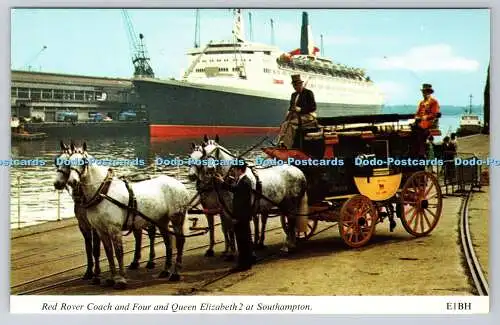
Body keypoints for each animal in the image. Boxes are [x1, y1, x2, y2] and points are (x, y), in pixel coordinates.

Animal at [52, 140, 189, 288]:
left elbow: (118, 253)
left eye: (83, 162)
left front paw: (121, 279)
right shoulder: (100, 230)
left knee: (179, 241)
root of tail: (178, 183)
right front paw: (112, 278)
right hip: (161, 220)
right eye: (63, 162)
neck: (102, 193)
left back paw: (175, 272)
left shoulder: (114, 229)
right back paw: (165, 270)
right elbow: (108, 252)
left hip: (176, 218)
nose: (71, 181)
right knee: (168, 240)